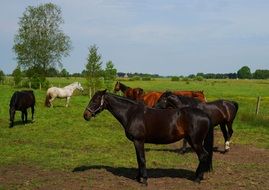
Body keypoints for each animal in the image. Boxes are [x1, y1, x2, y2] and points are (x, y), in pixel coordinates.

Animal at [82, 90, 213, 185]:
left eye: (95, 100)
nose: (86, 115)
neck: (132, 113)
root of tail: (205, 114)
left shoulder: (139, 141)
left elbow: (142, 159)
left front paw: (144, 180)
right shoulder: (136, 142)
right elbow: (138, 159)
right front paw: (138, 177)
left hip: (195, 141)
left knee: (203, 156)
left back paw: (197, 179)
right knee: (204, 156)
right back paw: (198, 176)